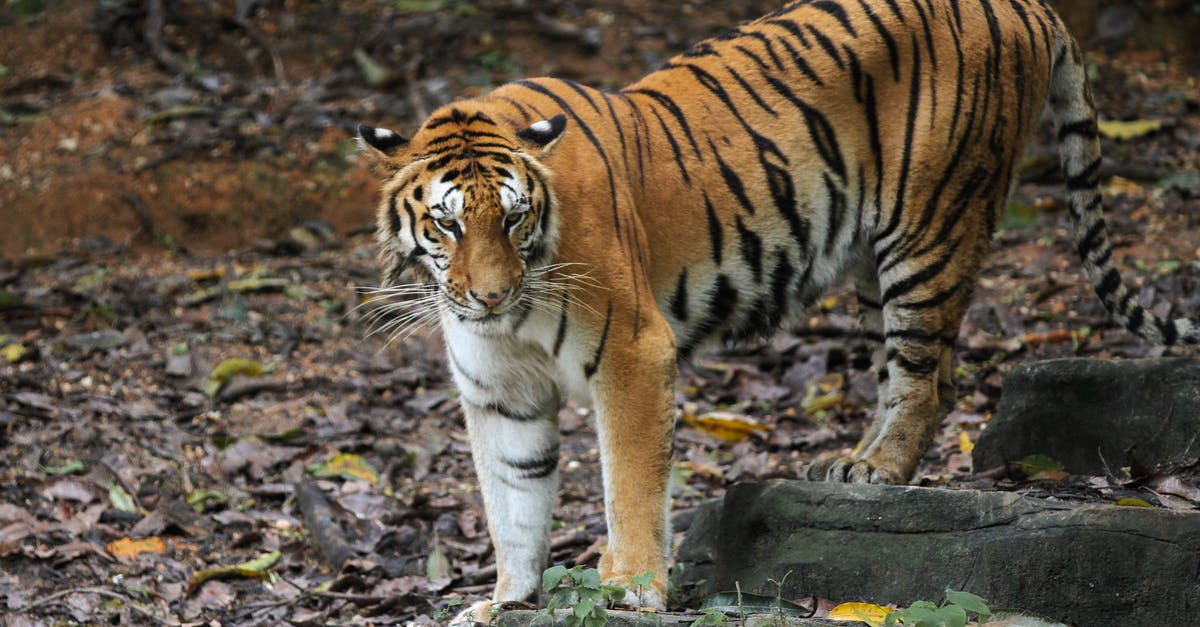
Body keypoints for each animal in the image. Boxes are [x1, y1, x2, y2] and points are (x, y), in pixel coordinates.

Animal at [355, 0, 1200, 614]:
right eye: (448, 224)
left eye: (514, 218)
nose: (490, 293)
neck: (512, 312)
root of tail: (1025, 4)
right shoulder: (500, 390)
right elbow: (514, 502)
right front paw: (507, 599)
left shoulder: (632, 350)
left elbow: (629, 481)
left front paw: (631, 585)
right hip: (874, 266)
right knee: (921, 373)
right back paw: (850, 467)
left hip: (931, 226)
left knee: (928, 378)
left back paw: (874, 470)